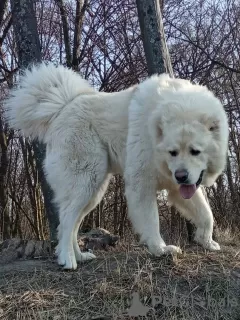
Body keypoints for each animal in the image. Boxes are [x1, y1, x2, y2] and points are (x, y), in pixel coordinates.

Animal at [6, 64, 229, 270]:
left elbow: (206, 215)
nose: (181, 176)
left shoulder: (179, 187)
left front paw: (208, 242)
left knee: (72, 225)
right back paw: (68, 260)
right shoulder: (141, 184)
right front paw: (160, 249)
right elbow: (152, 220)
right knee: (67, 221)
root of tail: (62, 108)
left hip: (93, 191)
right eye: (172, 152)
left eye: (195, 151)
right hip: (85, 181)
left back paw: (80, 256)